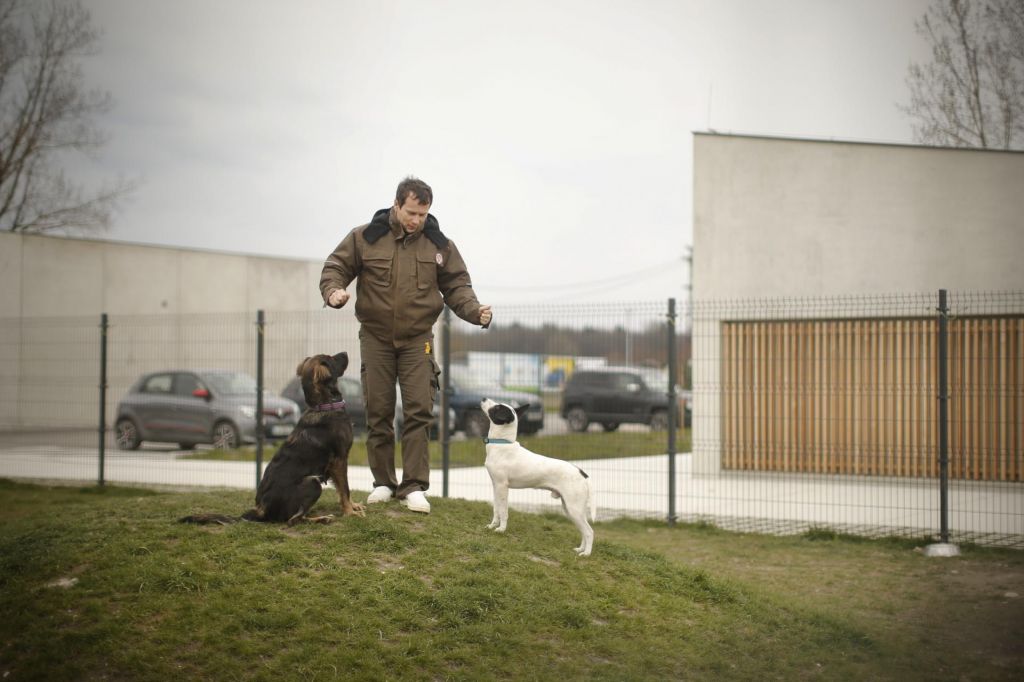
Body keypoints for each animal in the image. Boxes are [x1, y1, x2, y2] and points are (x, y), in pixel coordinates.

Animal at [180, 352, 364, 522]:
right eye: (332, 359)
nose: (346, 353)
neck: (324, 405)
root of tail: (260, 510)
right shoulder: (339, 460)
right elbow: (345, 489)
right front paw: (350, 512)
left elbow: (342, 490)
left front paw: (353, 506)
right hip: (312, 482)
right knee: (293, 520)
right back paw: (322, 519)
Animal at [481, 395, 598, 557]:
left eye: (497, 407)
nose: (483, 398)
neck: (502, 444)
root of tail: (582, 473)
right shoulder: (496, 486)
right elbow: (496, 509)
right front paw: (492, 526)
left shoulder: (503, 487)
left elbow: (503, 511)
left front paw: (501, 529)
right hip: (570, 509)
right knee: (583, 531)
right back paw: (580, 549)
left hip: (574, 509)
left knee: (589, 532)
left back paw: (586, 554)